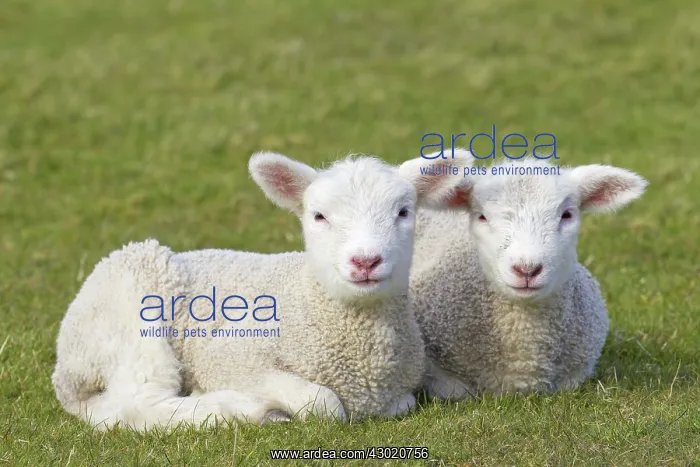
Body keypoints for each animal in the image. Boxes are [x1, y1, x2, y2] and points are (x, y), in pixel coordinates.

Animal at [51, 151, 469, 431]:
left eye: (403, 212)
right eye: (318, 216)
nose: (365, 261)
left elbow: (413, 400)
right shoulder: (233, 360)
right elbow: (322, 404)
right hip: (133, 315)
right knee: (136, 405)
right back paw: (241, 409)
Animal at [399, 156, 647, 398]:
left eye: (567, 214)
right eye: (481, 217)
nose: (527, 269)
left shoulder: (577, 372)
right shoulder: (439, 372)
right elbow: (456, 391)